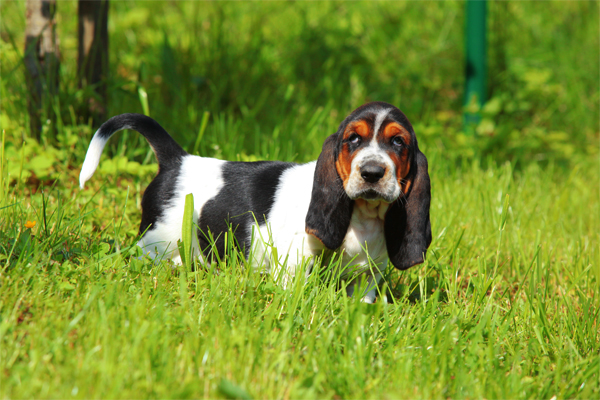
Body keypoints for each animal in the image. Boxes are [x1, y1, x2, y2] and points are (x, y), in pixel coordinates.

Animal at [79, 101, 432, 302]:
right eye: (353, 139)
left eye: (398, 142)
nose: (372, 172)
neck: (363, 217)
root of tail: (177, 161)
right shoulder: (294, 266)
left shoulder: (366, 279)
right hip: (155, 244)